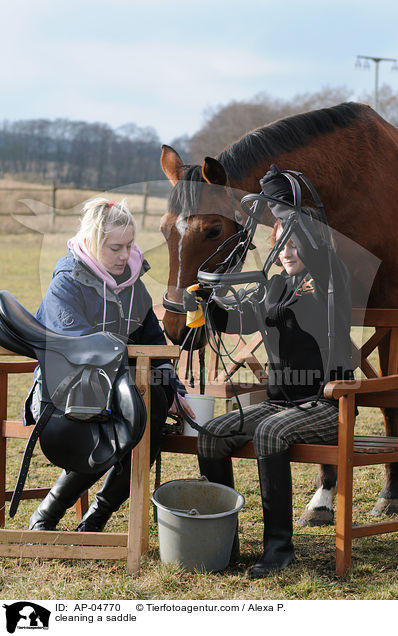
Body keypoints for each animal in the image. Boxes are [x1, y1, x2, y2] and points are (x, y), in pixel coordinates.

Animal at [160, 102, 398, 524]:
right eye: (164, 230)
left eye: (212, 230)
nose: (174, 324)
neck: (353, 183)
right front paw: (323, 497)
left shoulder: (386, 312)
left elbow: (385, 402)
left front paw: (389, 494)